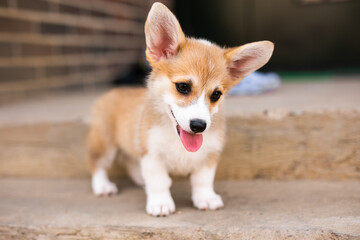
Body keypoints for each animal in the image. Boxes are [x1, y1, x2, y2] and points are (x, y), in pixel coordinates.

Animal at [88, 1, 274, 217]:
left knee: (129, 160)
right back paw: (103, 186)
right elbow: (159, 181)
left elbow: (203, 180)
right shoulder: (152, 153)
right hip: (105, 143)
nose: (199, 126)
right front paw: (160, 203)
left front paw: (206, 198)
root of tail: (112, 92)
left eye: (216, 95)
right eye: (183, 86)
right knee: (98, 163)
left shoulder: (209, 155)